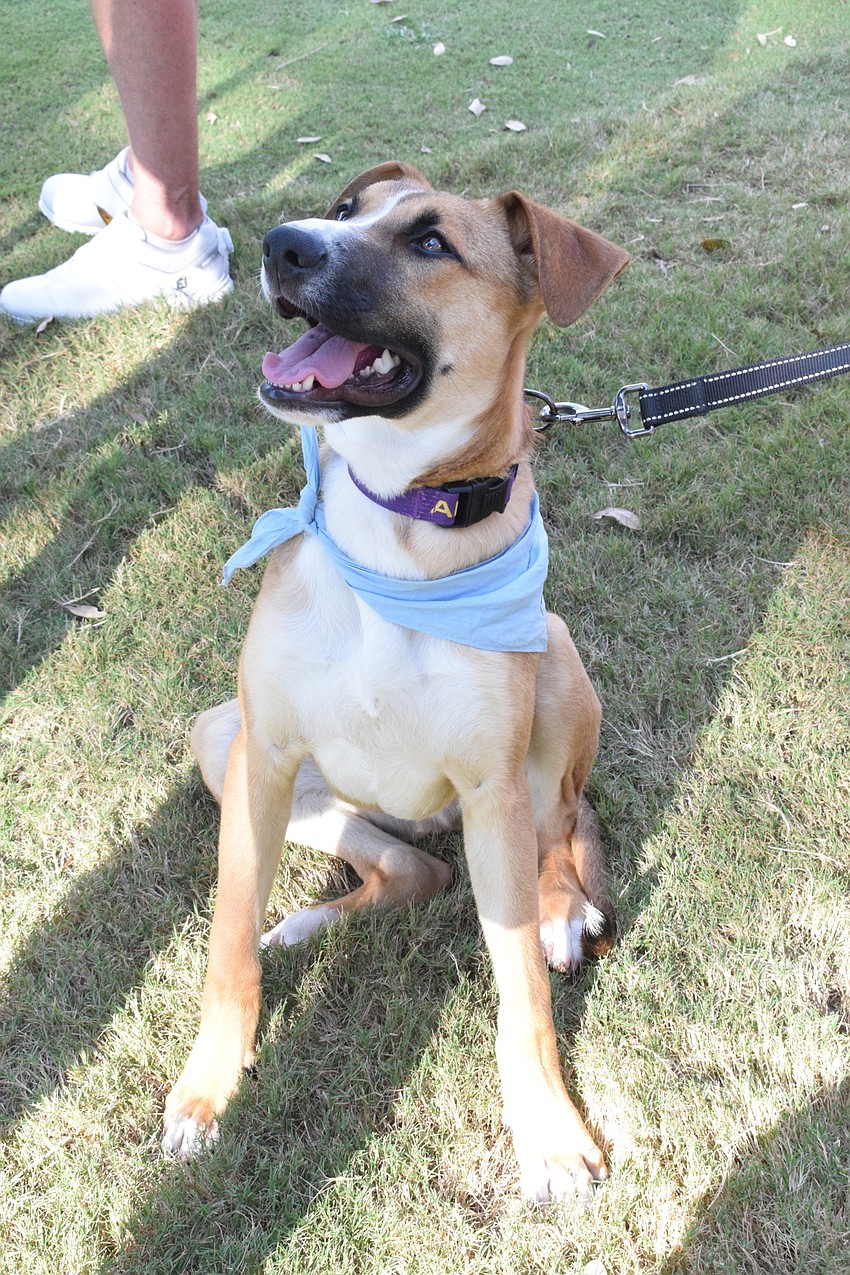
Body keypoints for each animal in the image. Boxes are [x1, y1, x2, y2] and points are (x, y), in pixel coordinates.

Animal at [162, 162, 630, 1203]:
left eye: (429, 243)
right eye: (346, 212)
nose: (283, 243)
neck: (398, 519)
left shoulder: (494, 785)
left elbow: (521, 993)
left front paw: (548, 1134)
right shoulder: (263, 753)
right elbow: (224, 941)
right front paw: (207, 1088)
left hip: (552, 657)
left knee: (560, 828)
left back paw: (560, 910)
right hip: (232, 746)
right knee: (415, 869)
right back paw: (304, 924)